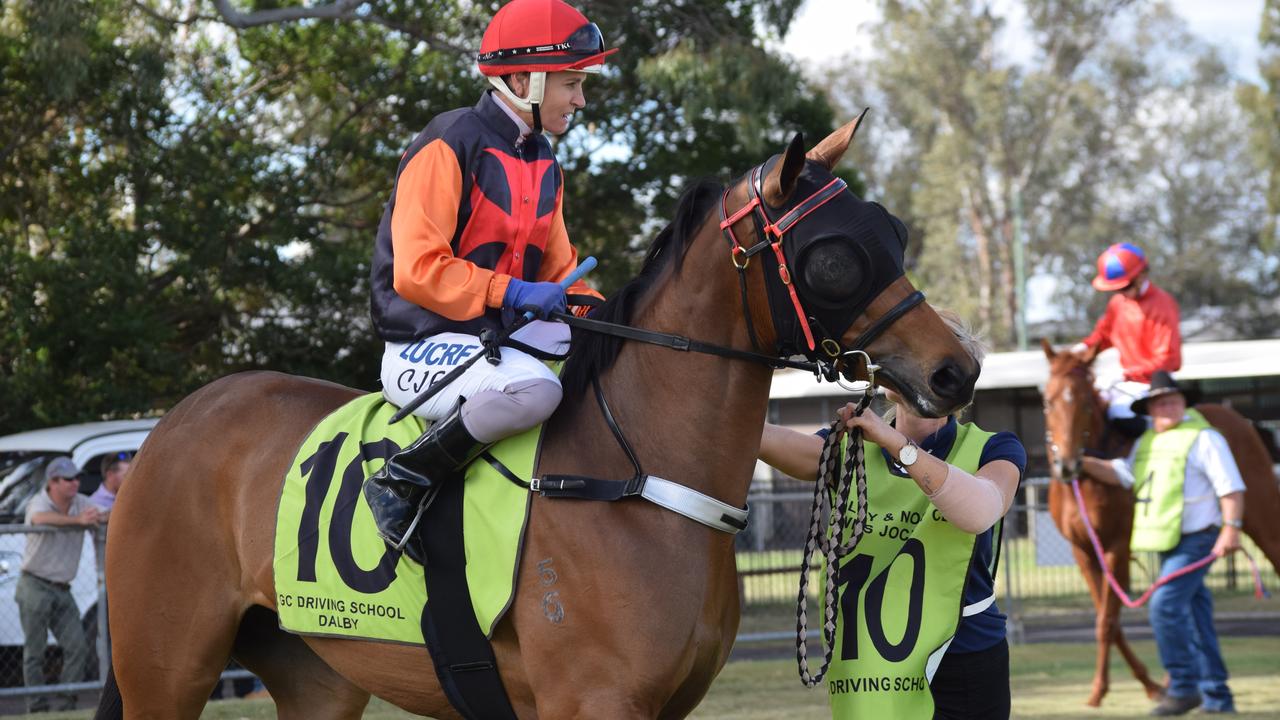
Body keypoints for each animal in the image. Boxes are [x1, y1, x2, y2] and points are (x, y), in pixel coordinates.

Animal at [99, 117, 977, 717]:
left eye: (893, 231)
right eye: (833, 257)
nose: (956, 368)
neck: (632, 476)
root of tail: (169, 426)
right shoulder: (593, 701)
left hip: (315, 674)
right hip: (166, 669)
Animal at [1039, 338, 1280, 702]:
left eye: (1085, 402)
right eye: (1048, 401)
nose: (1067, 465)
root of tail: (1242, 421)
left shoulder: (1116, 546)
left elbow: (1107, 620)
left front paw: (1106, 688)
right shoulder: (1083, 551)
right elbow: (1107, 617)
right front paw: (1143, 684)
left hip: (1262, 516)